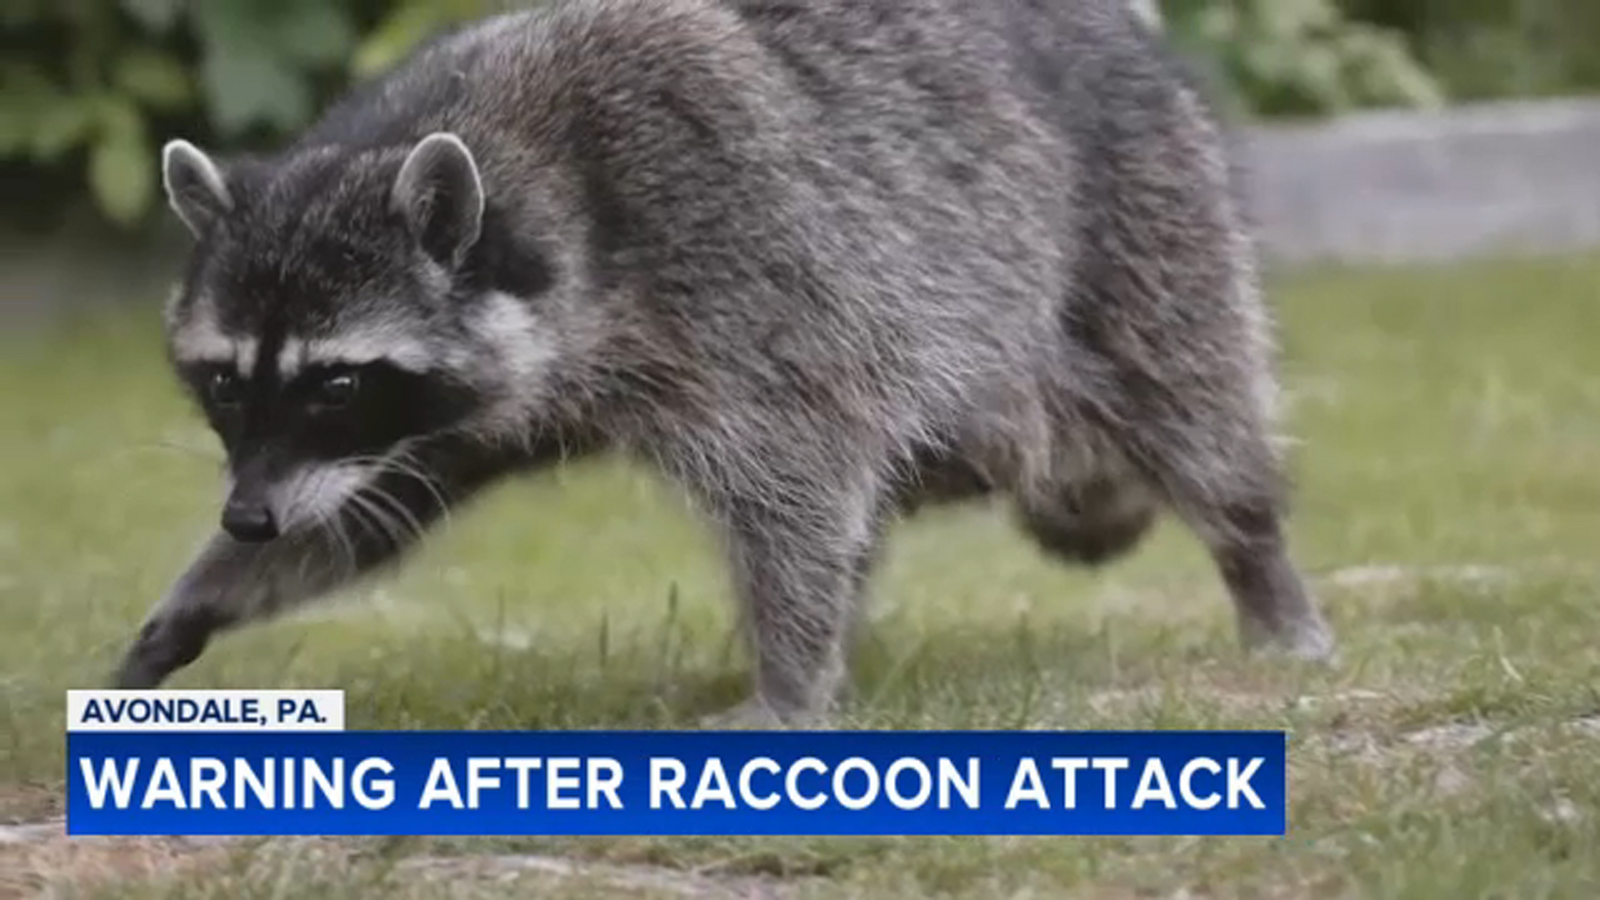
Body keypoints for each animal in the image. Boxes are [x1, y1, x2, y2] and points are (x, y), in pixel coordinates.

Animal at [113, 0, 1335, 724]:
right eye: (223, 382)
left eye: (335, 384)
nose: (246, 521)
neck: (530, 180)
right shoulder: (447, 412)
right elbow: (368, 513)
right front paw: (196, 603)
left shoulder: (750, 276)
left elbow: (796, 482)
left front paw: (788, 687)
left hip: (1145, 227)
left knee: (1194, 412)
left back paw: (1261, 569)